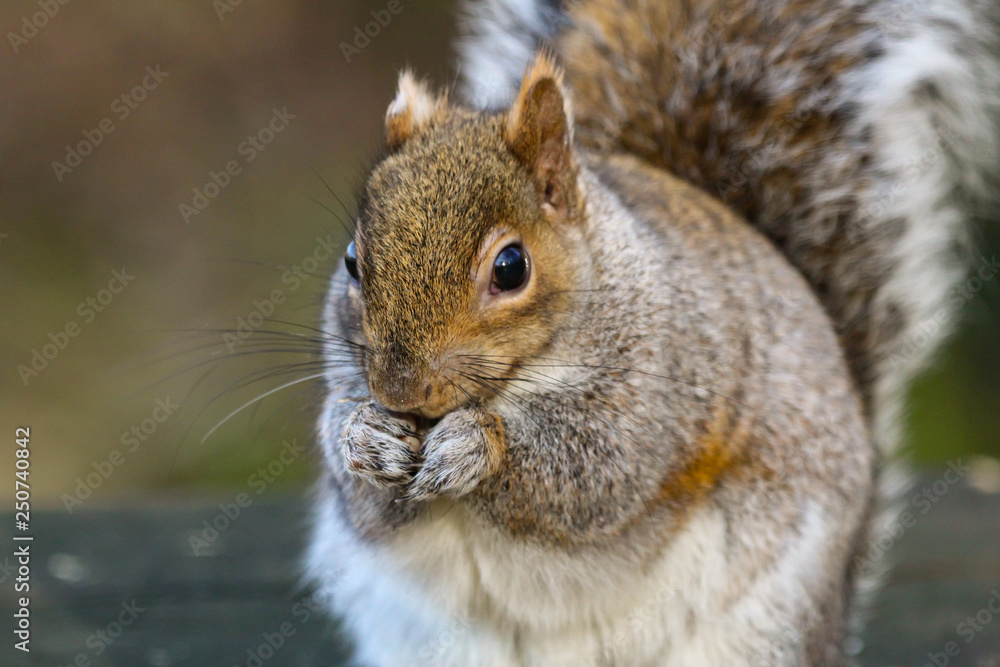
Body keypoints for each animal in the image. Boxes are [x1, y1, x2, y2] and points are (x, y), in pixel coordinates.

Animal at [306, 0, 1000, 665]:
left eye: (510, 267)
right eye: (352, 260)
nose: (400, 391)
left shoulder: (662, 381)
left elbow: (597, 473)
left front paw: (475, 445)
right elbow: (365, 501)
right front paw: (364, 437)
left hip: (766, 621)